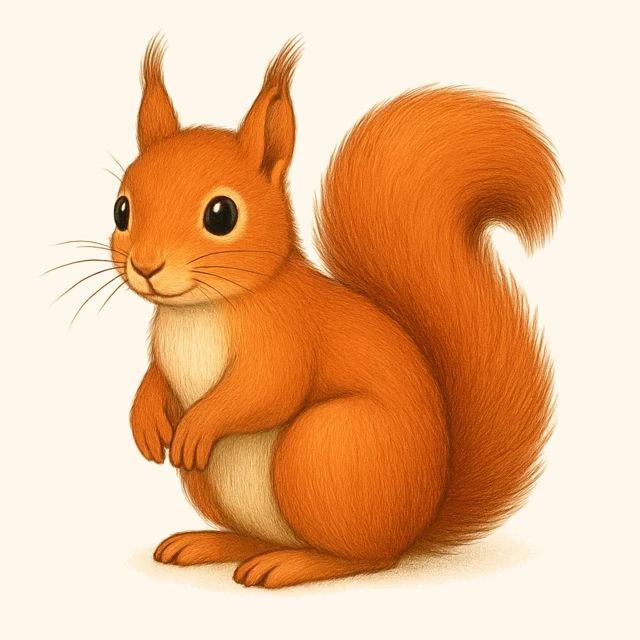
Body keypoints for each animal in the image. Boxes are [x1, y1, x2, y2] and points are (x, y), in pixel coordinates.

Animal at [113, 36, 561, 589]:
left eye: (222, 214)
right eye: (121, 210)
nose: (146, 267)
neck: (200, 310)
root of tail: (416, 527)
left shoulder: (287, 335)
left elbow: (267, 389)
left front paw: (198, 425)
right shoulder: (164, 350)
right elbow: (155, 378)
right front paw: (145, 422)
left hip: (324, 449)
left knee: (366, 558)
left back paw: (291, 565)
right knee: (262, 537)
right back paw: (211, 544)